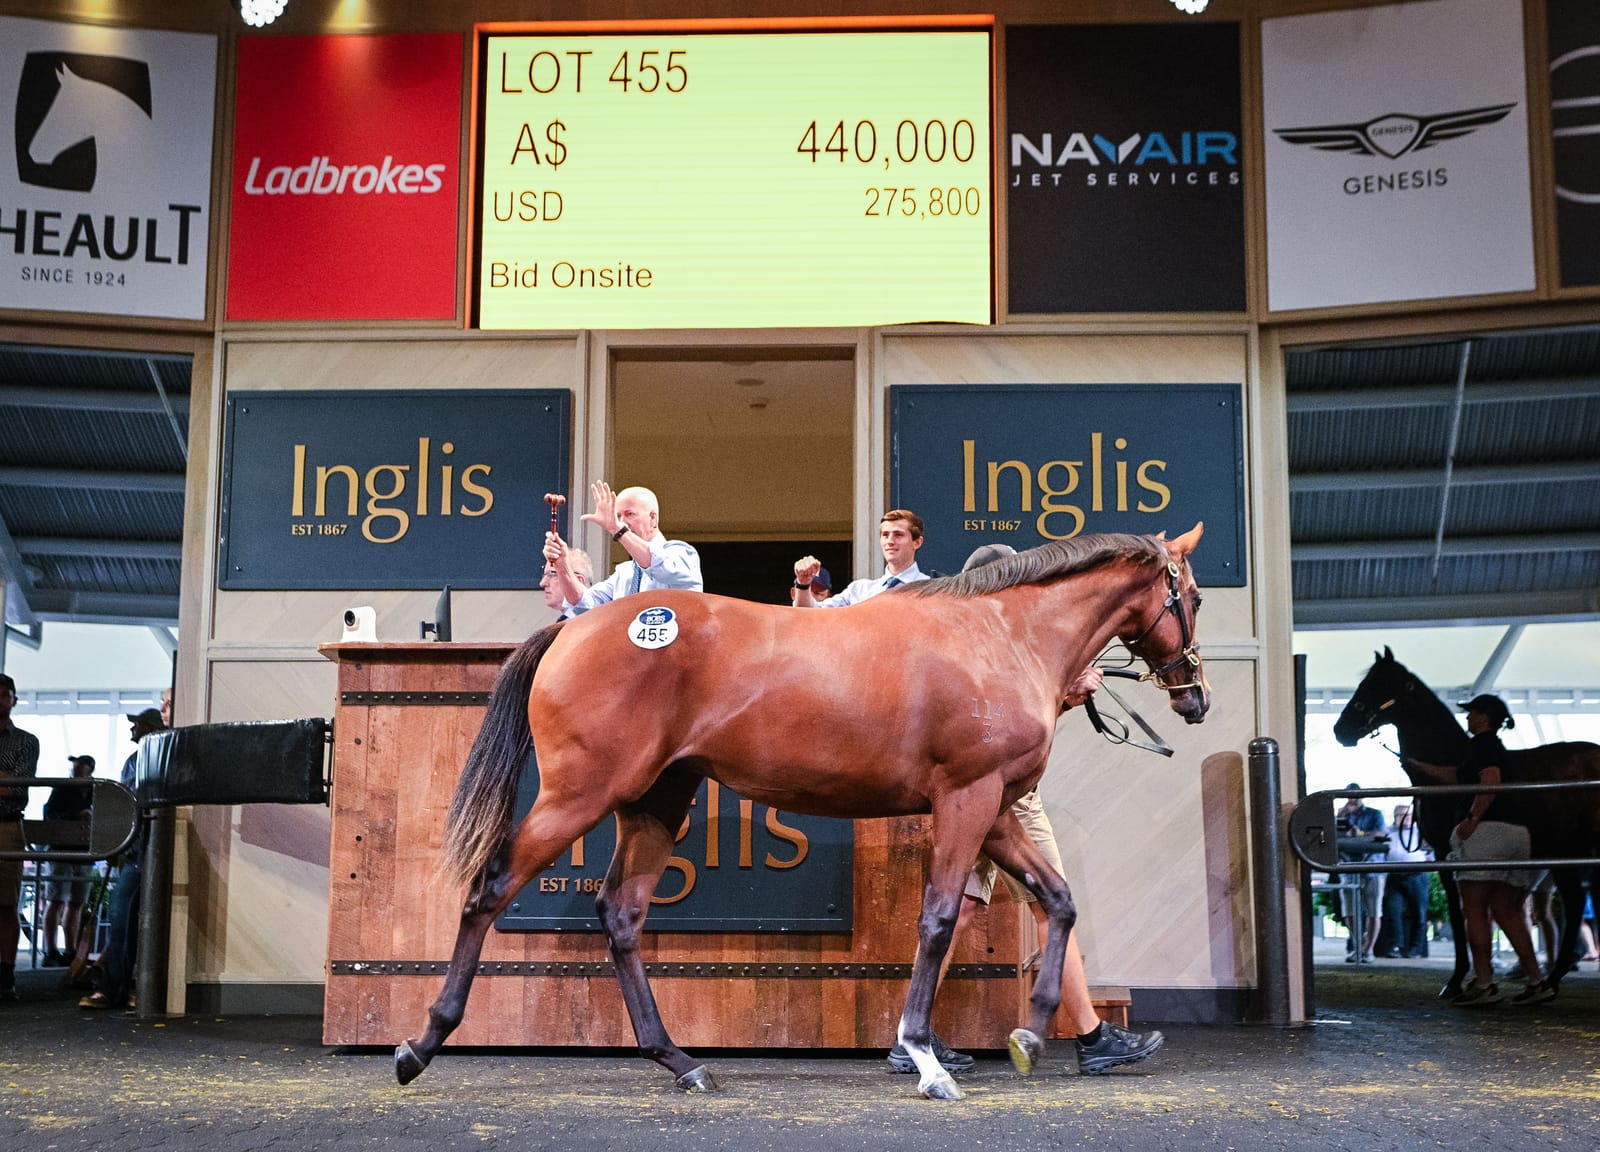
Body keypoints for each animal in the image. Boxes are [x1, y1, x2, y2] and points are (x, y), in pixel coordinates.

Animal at [393, 528, 1203, 1100]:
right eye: (1190, 597)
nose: (1194, 696)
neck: (999, 635)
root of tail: (575, 627)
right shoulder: (966, 799)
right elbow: (939, 919)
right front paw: (926, 1059)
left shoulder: (996, 808)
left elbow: (1058, 901)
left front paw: (1031, 1039)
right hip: (579, 795)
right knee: (490, 888)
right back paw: (420, 1045)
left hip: (657, 800)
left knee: (620, 914)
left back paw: (682, 1062)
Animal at [1331, 646, 1600, 998]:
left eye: (1375, 686)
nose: (1341, 730)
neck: (1450, 772)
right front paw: (1473, 979)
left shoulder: (1448, 855)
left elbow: (1460, 917)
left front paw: (1457, 980)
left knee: (1575, 902)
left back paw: (1551, 980)